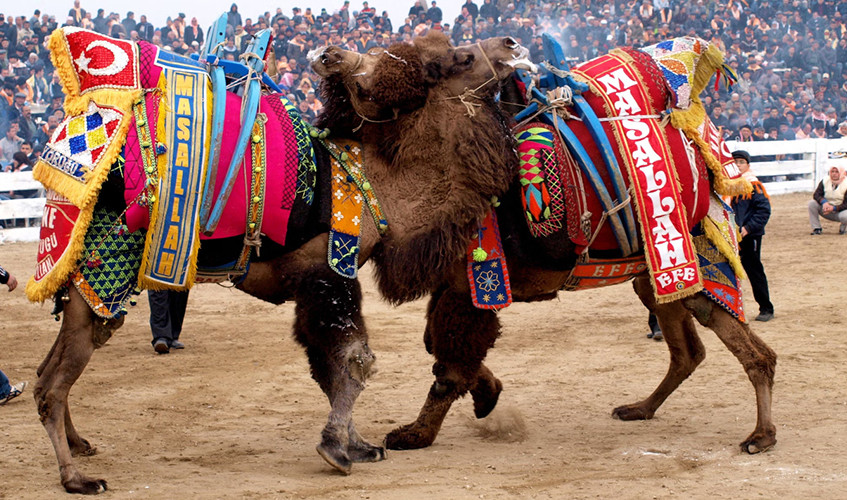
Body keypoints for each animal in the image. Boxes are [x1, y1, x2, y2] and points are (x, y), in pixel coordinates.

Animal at [34, 33, 536, 494]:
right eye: (462, 57)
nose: (513, 43)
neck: (377, 185)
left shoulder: (308, 285)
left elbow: (327, 367)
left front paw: (358, 445)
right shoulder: (328, 272)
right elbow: (355, 360)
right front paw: (336, 450)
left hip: (81, 278)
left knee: (46, 371)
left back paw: (80, 445)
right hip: (106, 267)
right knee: (52, 385)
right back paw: (76, 478)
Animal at [314, 41, 780, 456]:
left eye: (370, 71)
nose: (327, 54)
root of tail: (711, 161)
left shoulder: (472, 286)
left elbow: (448, 365)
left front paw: (414, 434)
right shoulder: (455, 286)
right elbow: (438, 346)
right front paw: (487, 395)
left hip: (697, 262)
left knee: (756, 353)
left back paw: (760, 436)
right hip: (654, 277)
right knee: (688, 352)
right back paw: (640, 408)